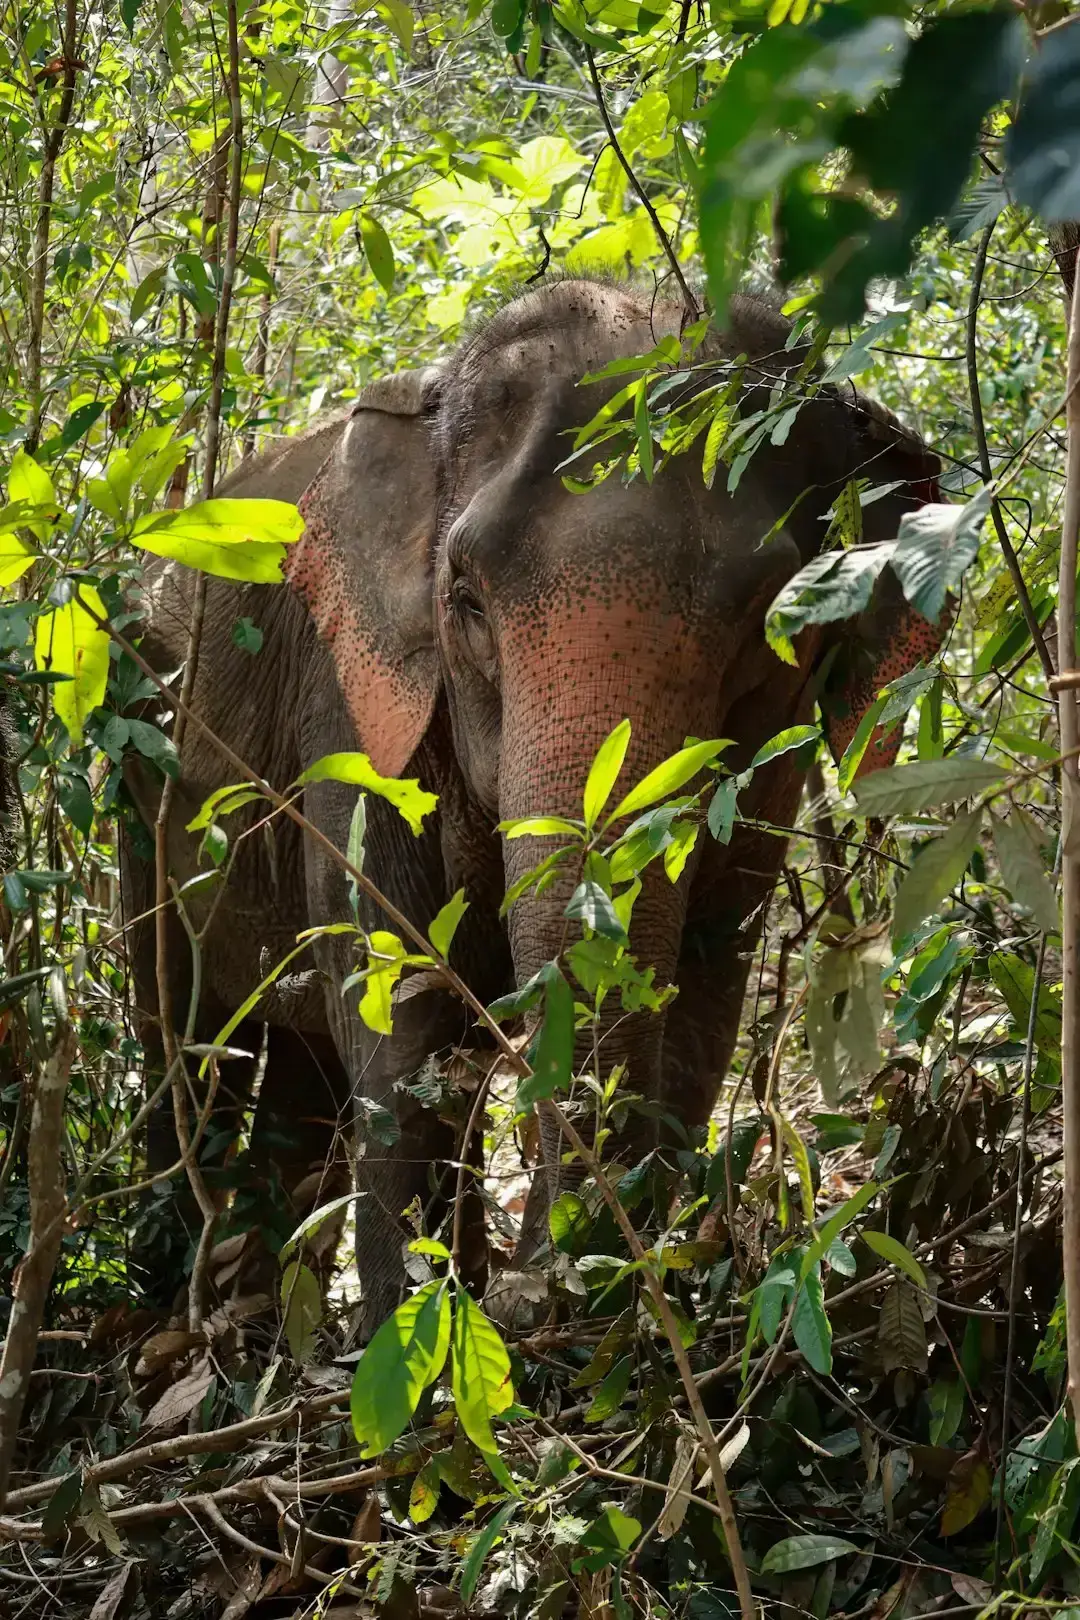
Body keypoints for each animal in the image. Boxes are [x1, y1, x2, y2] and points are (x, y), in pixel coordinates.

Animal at [123, 277, 942, 1336]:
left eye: (773, 623)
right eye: (465, 595)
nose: (538, 1290)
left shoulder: (769, 770)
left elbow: (708, 983)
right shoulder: (350, 706)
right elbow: (394, 998)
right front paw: (407, 1334)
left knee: (298, 1070)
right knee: (180, 1026)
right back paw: (173, 1313)